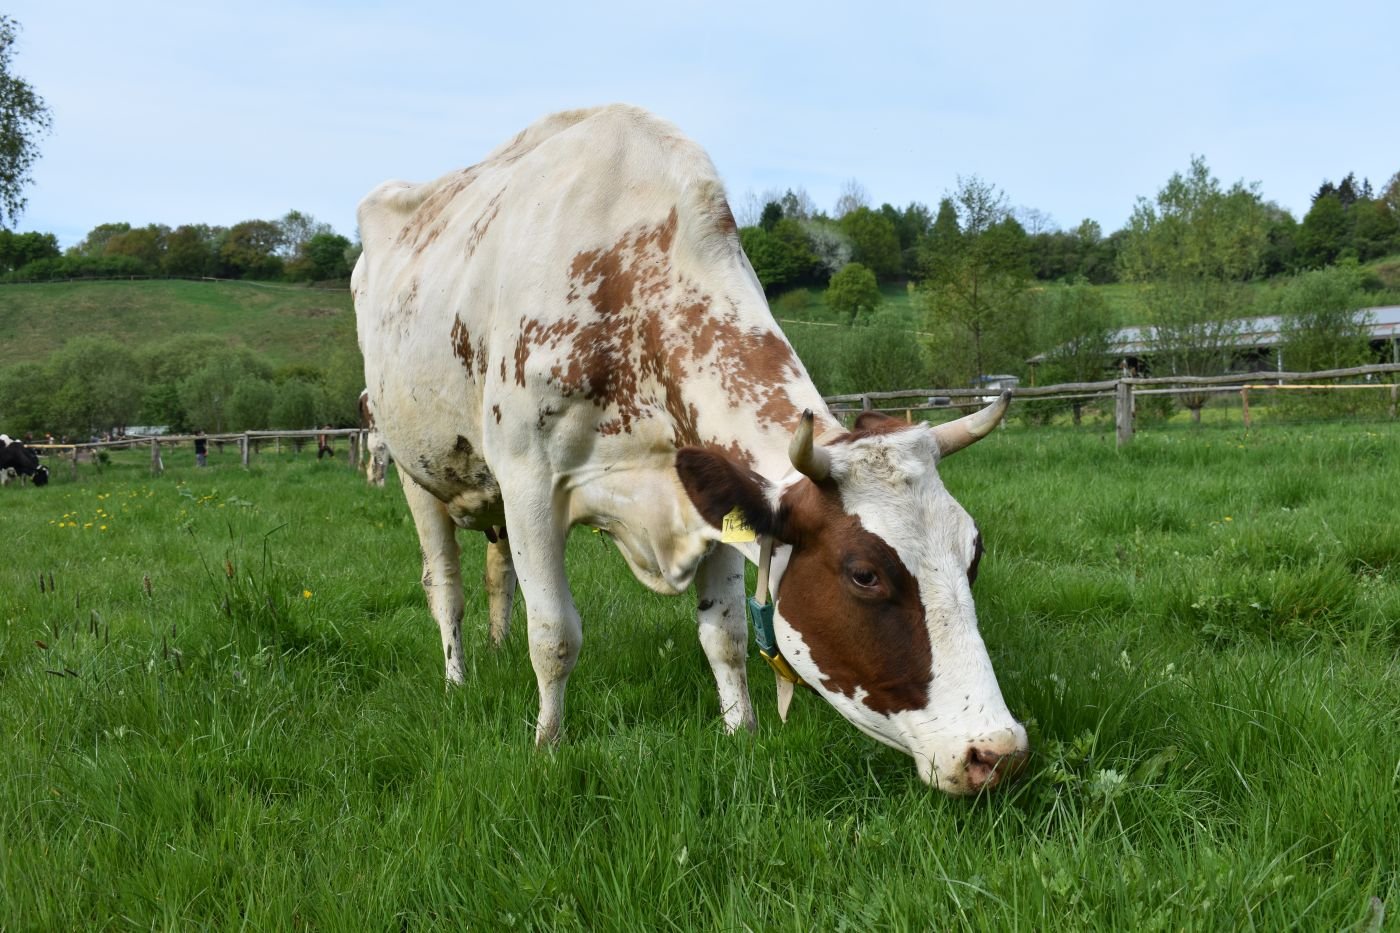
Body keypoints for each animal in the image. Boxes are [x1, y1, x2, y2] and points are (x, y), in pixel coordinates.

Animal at [353, 105, 1027, 794]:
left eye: (973, 553)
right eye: (864, 573)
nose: (996, 752)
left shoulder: (712, 491)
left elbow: (725, 634)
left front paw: (741, 732)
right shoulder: (528, 482)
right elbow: (555, 635)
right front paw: (548, 745)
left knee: (497, 576)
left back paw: (495, 646)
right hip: (412, 469)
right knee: (446, 585)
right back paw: (458, 679)